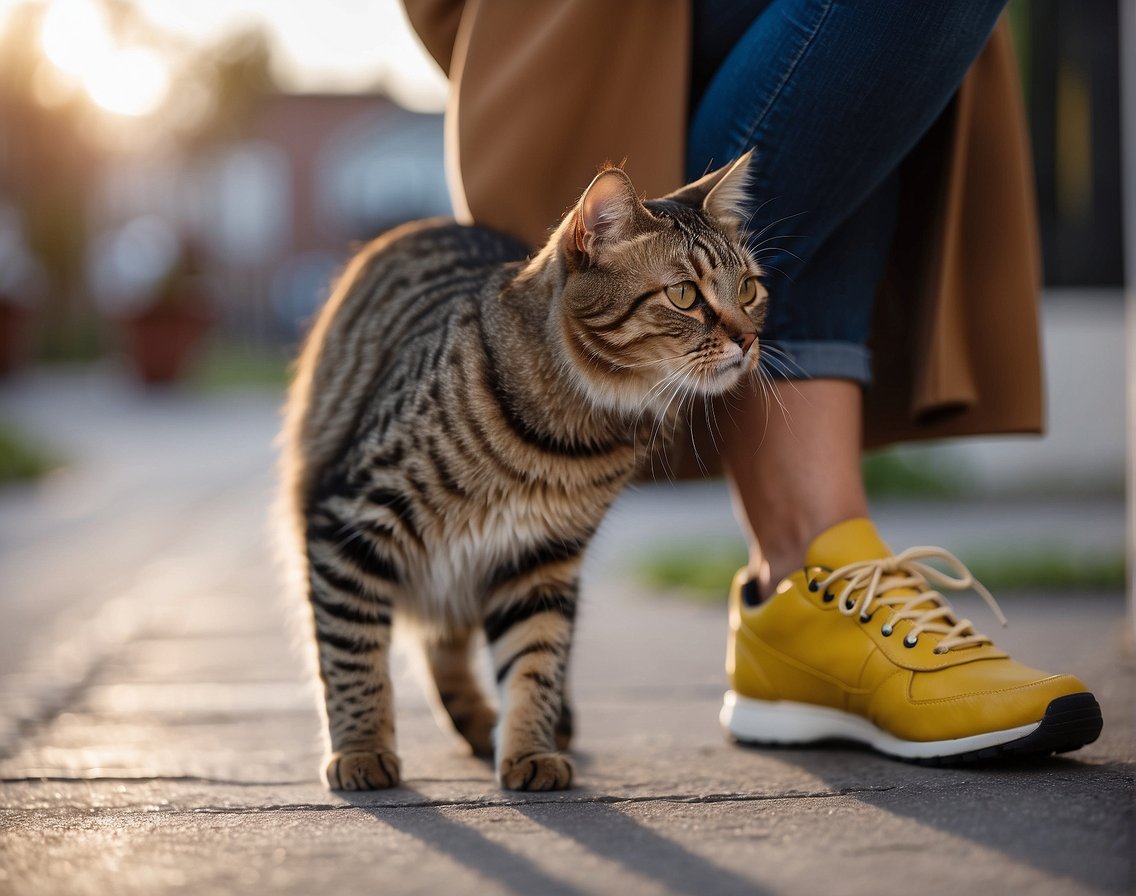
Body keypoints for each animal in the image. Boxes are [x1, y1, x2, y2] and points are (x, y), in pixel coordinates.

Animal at [279, 152, 767, 790]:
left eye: (749, 288)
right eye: (685, 295)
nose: (750, 338)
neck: (569, 434)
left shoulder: (541, 558)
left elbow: (535, 663)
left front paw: (528, 749)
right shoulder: (352, 520)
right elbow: (353, 654)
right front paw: (361, 749)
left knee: (446, 645)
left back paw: (492, 726)